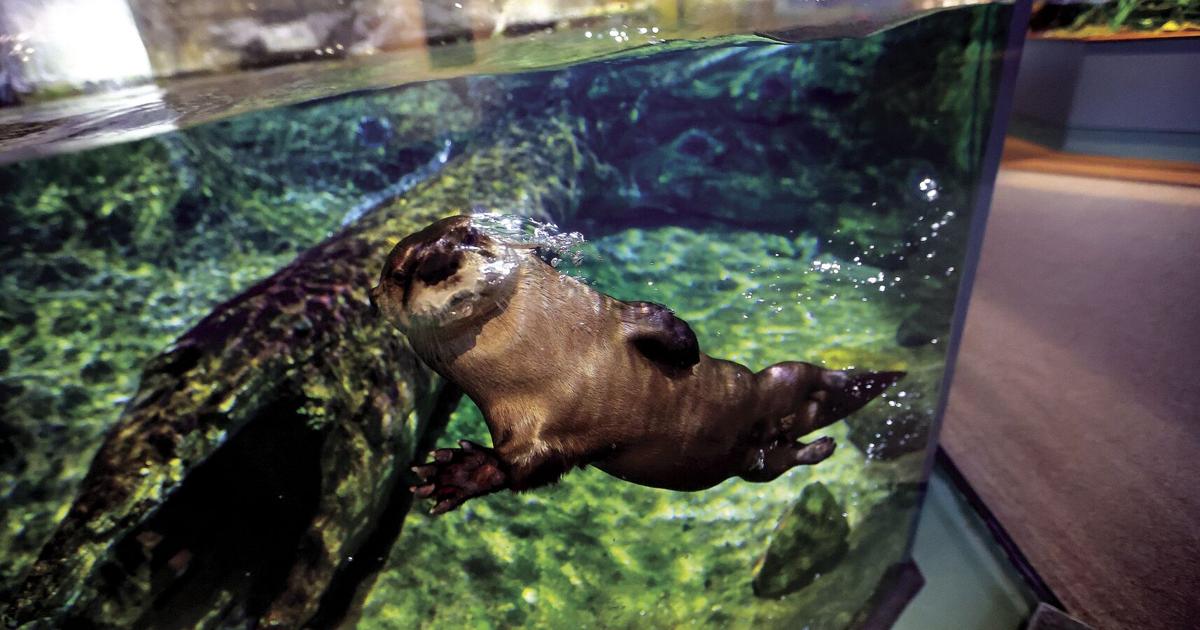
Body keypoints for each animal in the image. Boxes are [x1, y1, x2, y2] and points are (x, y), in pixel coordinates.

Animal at [370, 215, 903, 515]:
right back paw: (823, 445)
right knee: (779, 463)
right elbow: (521, 466)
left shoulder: (611, 317)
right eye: (400, 273)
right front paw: (459, 473)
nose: (437, 261)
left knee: (805, 377)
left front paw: (684, 352)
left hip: (776, 376)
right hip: (755, 462)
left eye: (471, 234)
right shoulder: (522, 423)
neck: (560, 362)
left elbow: (658, 318)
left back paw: (860, 379)